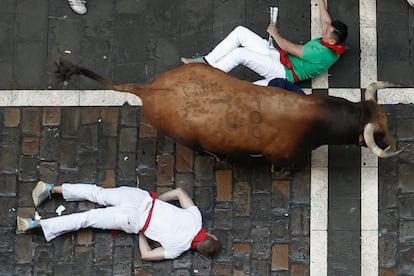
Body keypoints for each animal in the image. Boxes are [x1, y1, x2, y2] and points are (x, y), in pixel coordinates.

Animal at [53, 58, 402, 168]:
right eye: (379, 132)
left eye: (386, 121)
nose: (395, 143)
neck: (315, 119)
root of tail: (150, 89)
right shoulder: (282, 157)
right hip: (190, 140)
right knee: (201, 150)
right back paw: (219, 158)